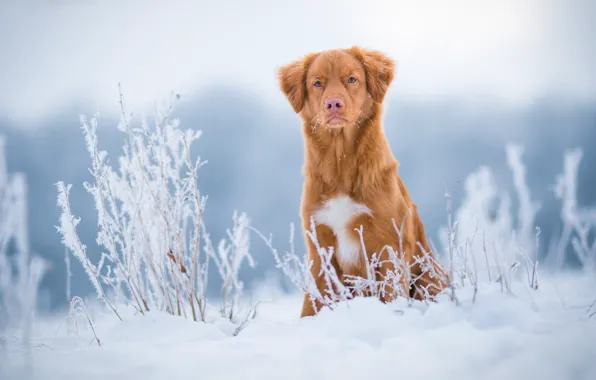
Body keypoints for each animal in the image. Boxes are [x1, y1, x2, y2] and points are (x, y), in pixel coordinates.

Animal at [278, 46, 444, 316]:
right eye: (317, 83)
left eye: (352, 79)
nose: (333, 104)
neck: (340, 165)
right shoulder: (320, 246)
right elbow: (312, 302)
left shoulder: (388, 243)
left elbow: (391, 292)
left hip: (429, 278)